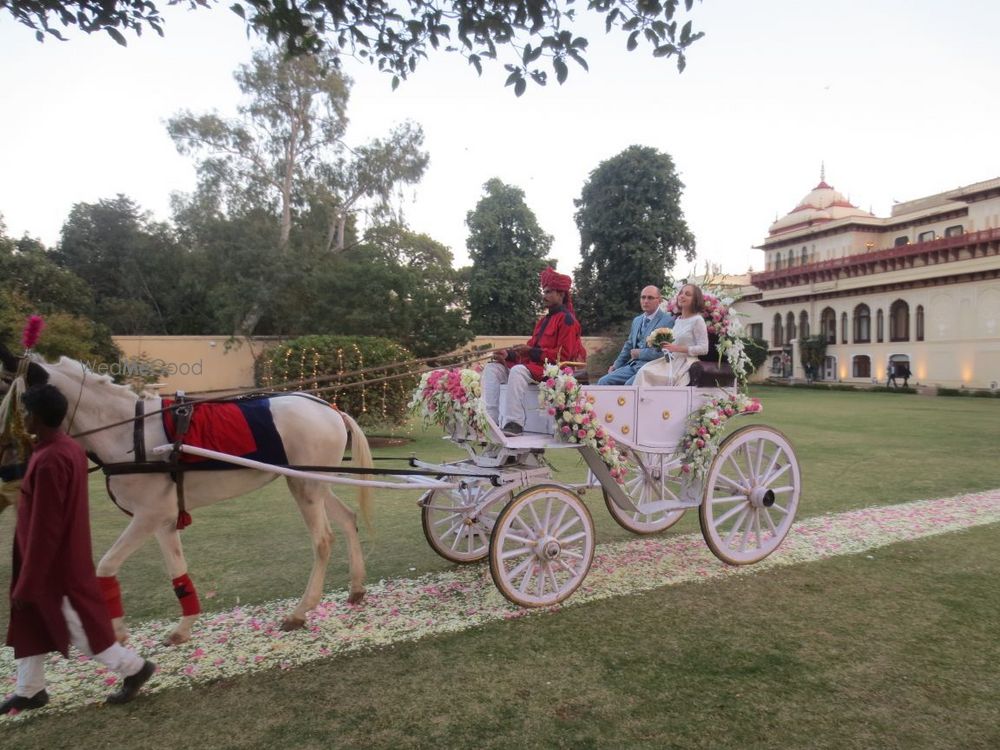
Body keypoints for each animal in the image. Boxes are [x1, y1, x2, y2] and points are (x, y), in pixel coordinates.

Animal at [0, 346, 374, 648]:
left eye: (10, 396)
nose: (8, 469)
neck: (129, 431)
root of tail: (330, 408)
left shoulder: (147, 516)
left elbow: (105, 565)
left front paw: (116, 633)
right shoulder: (163, 520)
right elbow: (178, 573)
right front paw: (183, 628)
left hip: (305, 486)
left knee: (323, 540)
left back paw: (300, 611)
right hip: (313, 481)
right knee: (347, 519)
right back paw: (356, 587)